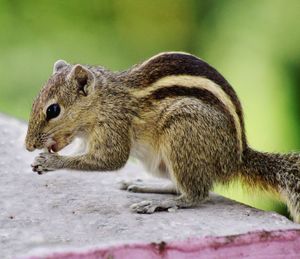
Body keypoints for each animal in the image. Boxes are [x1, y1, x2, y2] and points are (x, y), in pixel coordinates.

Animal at [25, 51, 300, 222]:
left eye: (53, 110)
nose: (28, 146)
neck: (104, 100)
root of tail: (237, 157)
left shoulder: (115, 125)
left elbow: (111, 160)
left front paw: (49, 162)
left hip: (182, 132)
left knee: (197, 194)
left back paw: (162, 204)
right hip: (160, 161)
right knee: (181, 183)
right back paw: (146, 186)